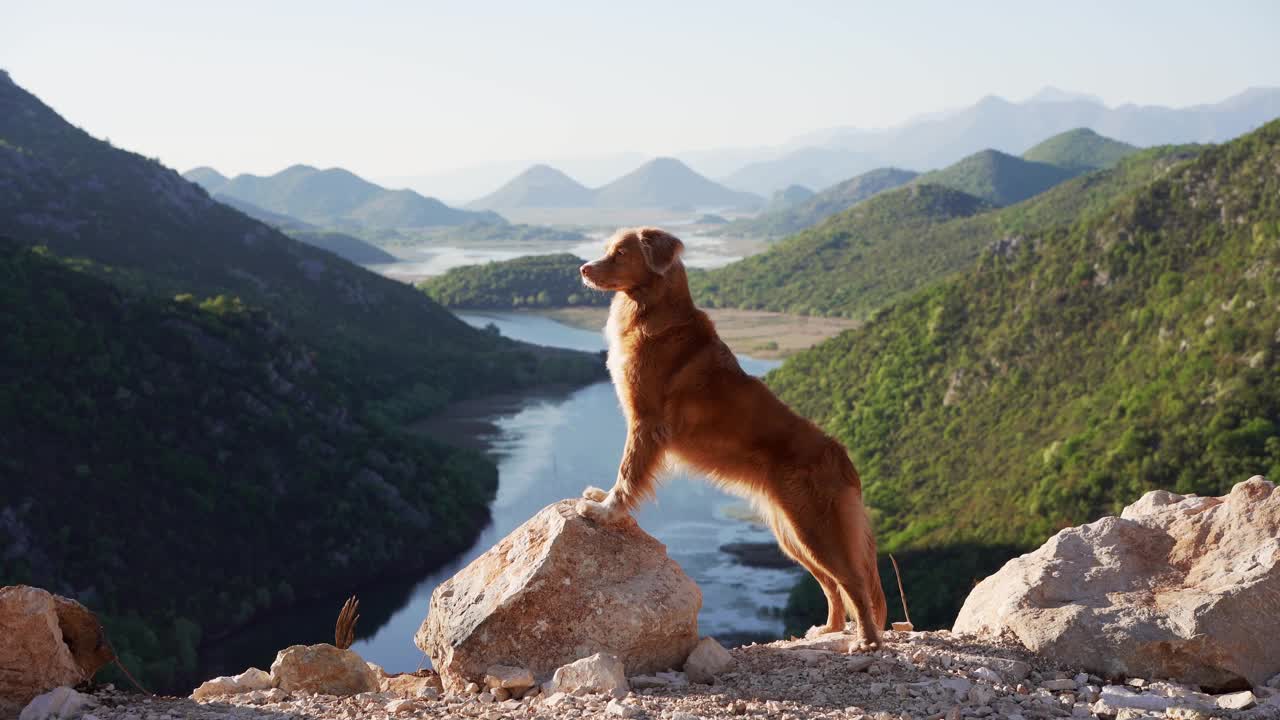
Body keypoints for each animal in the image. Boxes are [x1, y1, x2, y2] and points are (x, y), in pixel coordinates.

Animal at [576, 225, 885, 645]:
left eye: (621, 253)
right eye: (607, 249)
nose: (583, 268)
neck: (652, 310)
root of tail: (841, 456)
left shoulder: (646, 423)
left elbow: (627, 474)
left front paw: (605, 511)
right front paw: (599, 498)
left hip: (816, 529)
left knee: (852, 581)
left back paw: (866, 640)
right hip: (792, 535)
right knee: (832, 585)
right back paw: (830, 628)